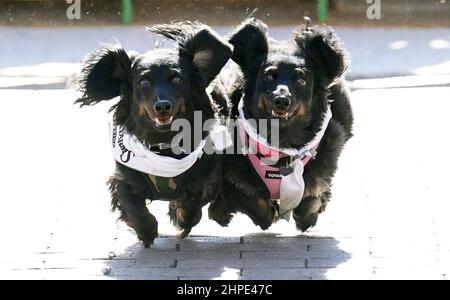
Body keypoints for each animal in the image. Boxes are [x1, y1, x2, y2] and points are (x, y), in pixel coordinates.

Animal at [72, 22, 232, 246]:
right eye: (144, 82)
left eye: (177, 78)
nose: (162, 107)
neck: (164, 146)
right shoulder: (124, 178)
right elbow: (135, 208)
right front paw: (146, 232)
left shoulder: (207, 180)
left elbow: (192, 207)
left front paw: (180, 216)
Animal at [209, 17, 354, 231]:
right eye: (268, 76)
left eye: (302, 80)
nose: (281, 100)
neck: (281, 140)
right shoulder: (235, 172)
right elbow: (254, 202)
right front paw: (267, 214)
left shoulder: (325, 158)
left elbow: (311, 195)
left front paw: (305, 216)